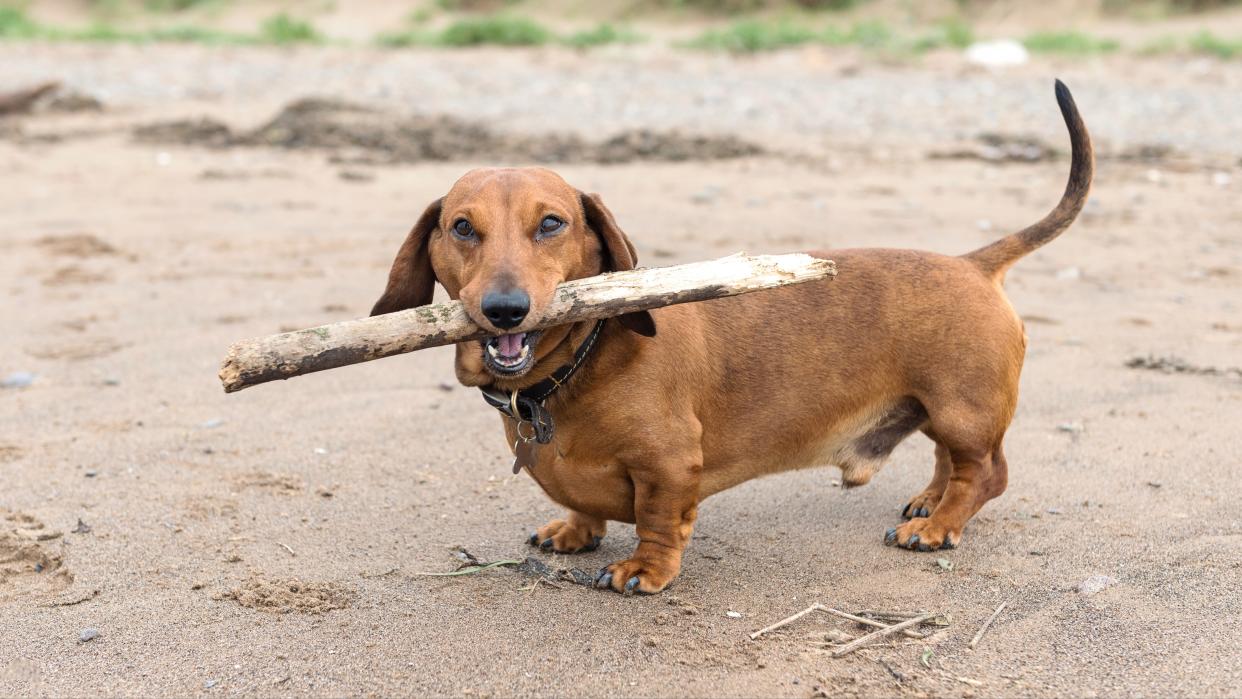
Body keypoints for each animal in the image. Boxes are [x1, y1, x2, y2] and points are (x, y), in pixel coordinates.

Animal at [372, 81, 1092, 595]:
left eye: (551, 223)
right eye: (462, 227)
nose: (504, 309)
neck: (572, 370)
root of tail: (972, 262)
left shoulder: (667, 464)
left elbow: (659, 521)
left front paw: (644, 569)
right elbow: (582, 506)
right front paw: (575, 530)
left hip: (962, 409)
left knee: (985, 472)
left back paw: (939, 525)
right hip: (943, 410)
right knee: (951, 462)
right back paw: (929, 503)